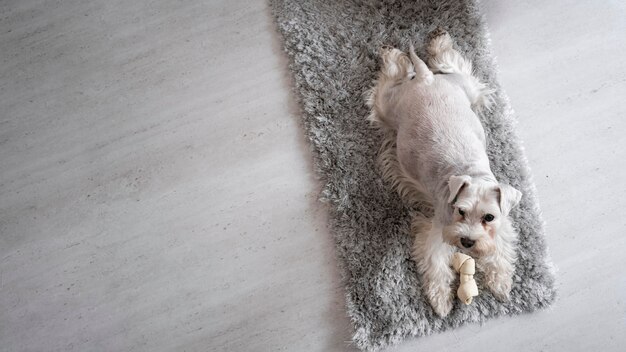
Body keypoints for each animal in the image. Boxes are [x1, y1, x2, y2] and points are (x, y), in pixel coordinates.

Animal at [366, 29, 520, 316]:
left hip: (464, 89)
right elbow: (436, 265)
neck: (470, 171)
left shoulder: (501, 225)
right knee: (393, 76)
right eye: (460, 210)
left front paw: (501, 284)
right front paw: (440, 301)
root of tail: (425, 79)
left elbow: (500, 253)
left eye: (489, 217)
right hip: (389, 105)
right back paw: (394, 53)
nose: (468, 242)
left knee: (452, 65)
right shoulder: (436, 230)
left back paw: (437, 42)